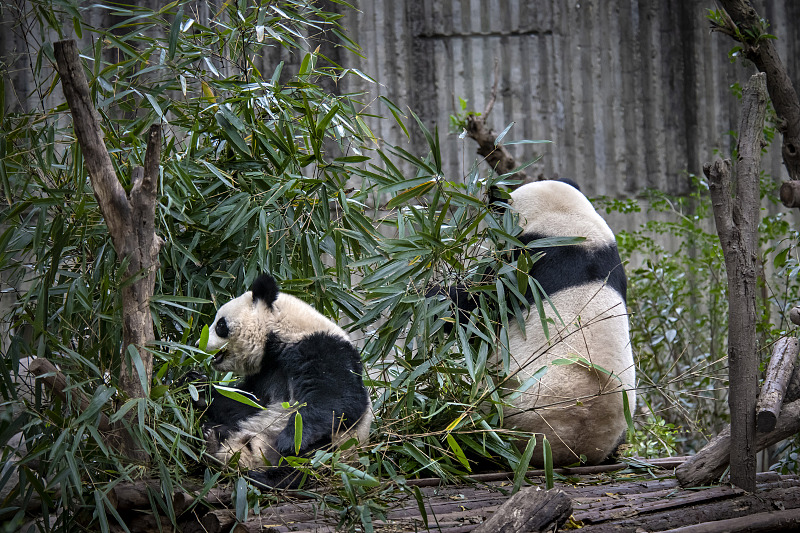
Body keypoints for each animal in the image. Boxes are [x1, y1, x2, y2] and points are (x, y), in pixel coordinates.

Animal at [195, 273, 372, 488]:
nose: (199, 343)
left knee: (311, 457)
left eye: (220, 325)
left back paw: (273, 477)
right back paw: (212, 438)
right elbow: (249, 403)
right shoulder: (268, 370)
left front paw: (289, 439)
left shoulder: (324, 349)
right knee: (226, 430)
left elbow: (340, 399)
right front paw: (197, 387)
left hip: (340, 447)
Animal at [439, 179, 635, 466]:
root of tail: (575, 449)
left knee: (467, 428)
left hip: (506, 414)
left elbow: (476, 307)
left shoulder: (524, 265)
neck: (568, 224)